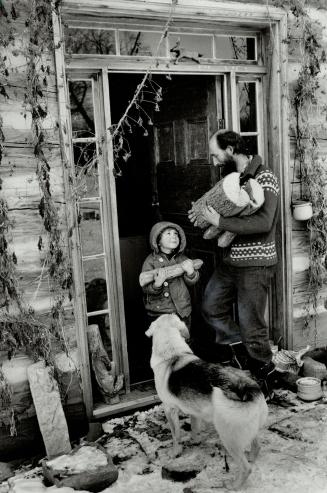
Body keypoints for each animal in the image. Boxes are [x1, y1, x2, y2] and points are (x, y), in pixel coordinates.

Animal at [146, 314, 270, 490]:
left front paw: (175, 453)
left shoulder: (170, 409)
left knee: (246, 468)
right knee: (256, 447)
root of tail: (249, 389)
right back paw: (251, 458)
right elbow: (194, 427)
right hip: (248, 430)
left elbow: (175, 435)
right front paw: (195, 440)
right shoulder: (194, 410)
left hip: (228, 437)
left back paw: (233, 486)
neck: (173, 354)